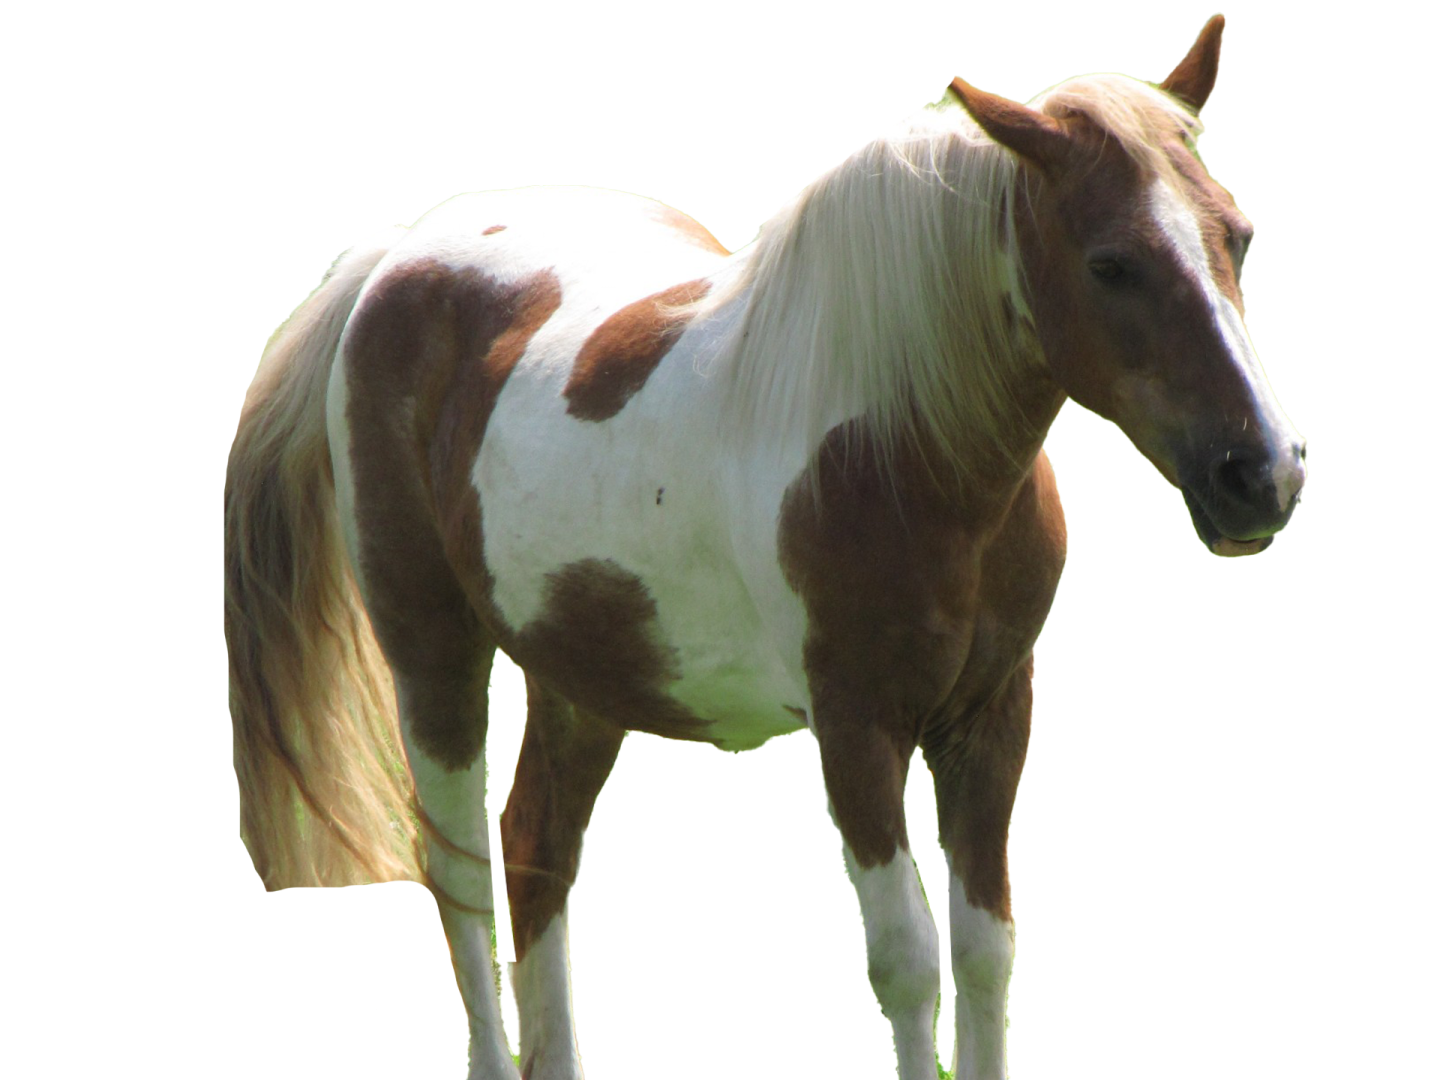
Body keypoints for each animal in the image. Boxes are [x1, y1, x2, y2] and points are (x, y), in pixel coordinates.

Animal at [223, 14, 1305, 1079]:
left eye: (1238, 236)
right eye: (1111, 264)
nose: (1266, 473)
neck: (899, 443)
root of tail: (398, 256)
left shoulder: (991, 716)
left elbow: (986, 950)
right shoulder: (858, 728)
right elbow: (907, 960)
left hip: (586, 677)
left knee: (537, 852)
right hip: (432, 652)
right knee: (459, 873)